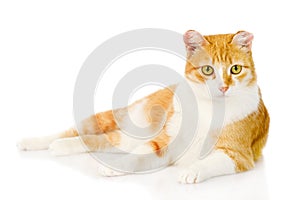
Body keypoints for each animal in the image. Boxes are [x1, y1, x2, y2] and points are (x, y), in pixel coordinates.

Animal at [17, 28, 270, 184]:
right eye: (207, 70)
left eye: (235, 69)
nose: (223, 87)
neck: (210, 108)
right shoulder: (163, 144)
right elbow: (134, 158)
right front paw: (116, 167)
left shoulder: (238, 155)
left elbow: (209, 162)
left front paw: (191, 171)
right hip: (116, 120)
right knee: (73, 131)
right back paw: (32, 142)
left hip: (123, 138)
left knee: (94, 141)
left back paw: (60, 147)